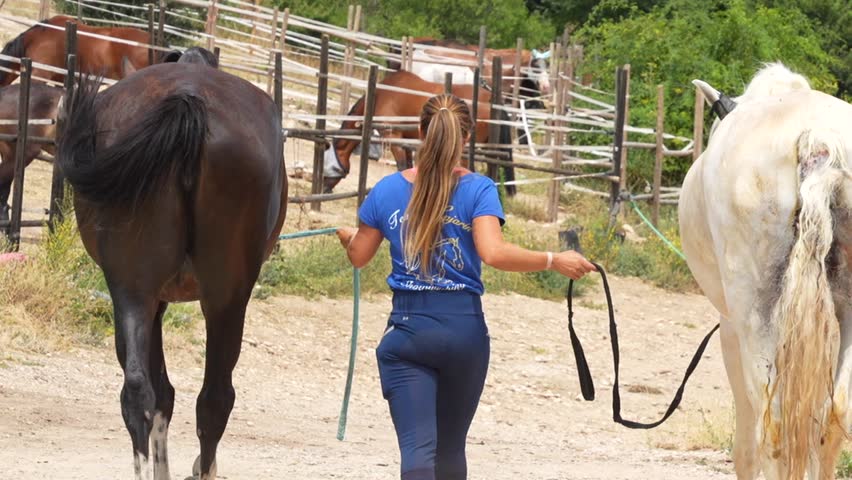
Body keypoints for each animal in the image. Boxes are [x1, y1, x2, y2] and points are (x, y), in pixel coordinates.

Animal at [55, 50, 287, 480]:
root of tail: (187, 98)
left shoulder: (152, 300)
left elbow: (160, 394)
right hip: (226, 299)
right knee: (214, 399)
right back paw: (204, 467)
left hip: (132, 290)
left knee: (138, 393)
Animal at [322, 70, 516, 196]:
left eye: (330, 167)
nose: (324, 189)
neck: (381, 95)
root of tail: (491, 99)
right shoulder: (407, 142)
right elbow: (409, 168)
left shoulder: (393, 137)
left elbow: (401, 167)